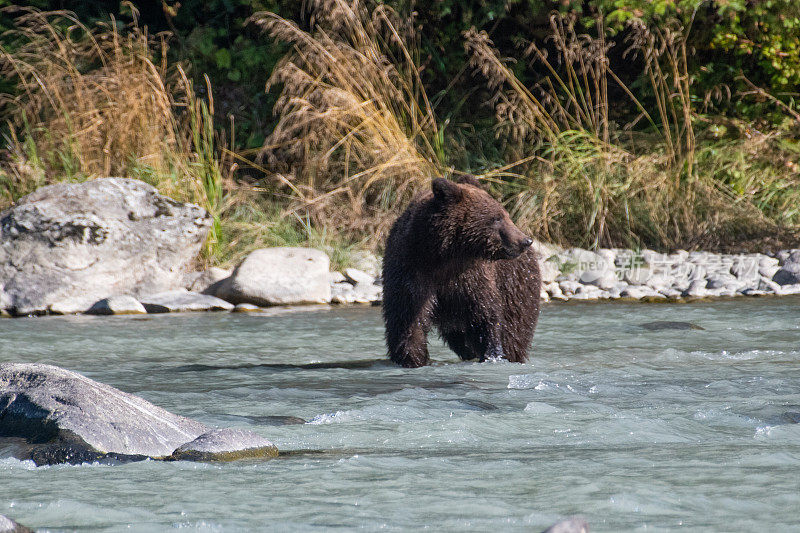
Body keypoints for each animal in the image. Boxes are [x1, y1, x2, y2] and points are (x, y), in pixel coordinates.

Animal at [382, 175, 544, 366]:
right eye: (497, 218)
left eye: (505, 215)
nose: (525, 241)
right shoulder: (412, 271)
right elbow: (407, 319)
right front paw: (413, 358)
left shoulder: (471, 277)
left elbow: (486, 314)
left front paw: (493, 354)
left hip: (516, 287)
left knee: (515, 329)